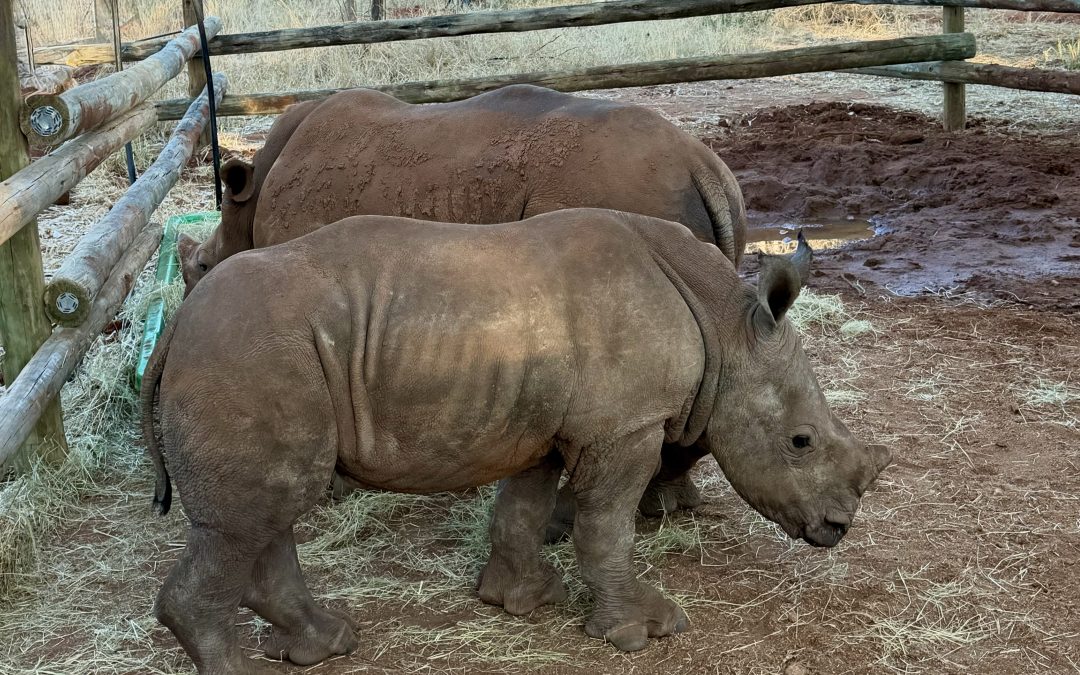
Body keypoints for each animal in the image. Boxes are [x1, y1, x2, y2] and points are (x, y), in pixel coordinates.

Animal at [142, 209, 891, 673]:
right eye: (800, 442)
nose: (838, 527)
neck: (726, 324)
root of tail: (175, 325)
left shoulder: (545, 427)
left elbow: (522, 510)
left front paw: (520, 600)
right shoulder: (625, 426)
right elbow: (605, 525)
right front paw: (642, 631)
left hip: (257, 358)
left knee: (265, 511)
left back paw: (328, 643)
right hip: (248, 358)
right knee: (252, 518)